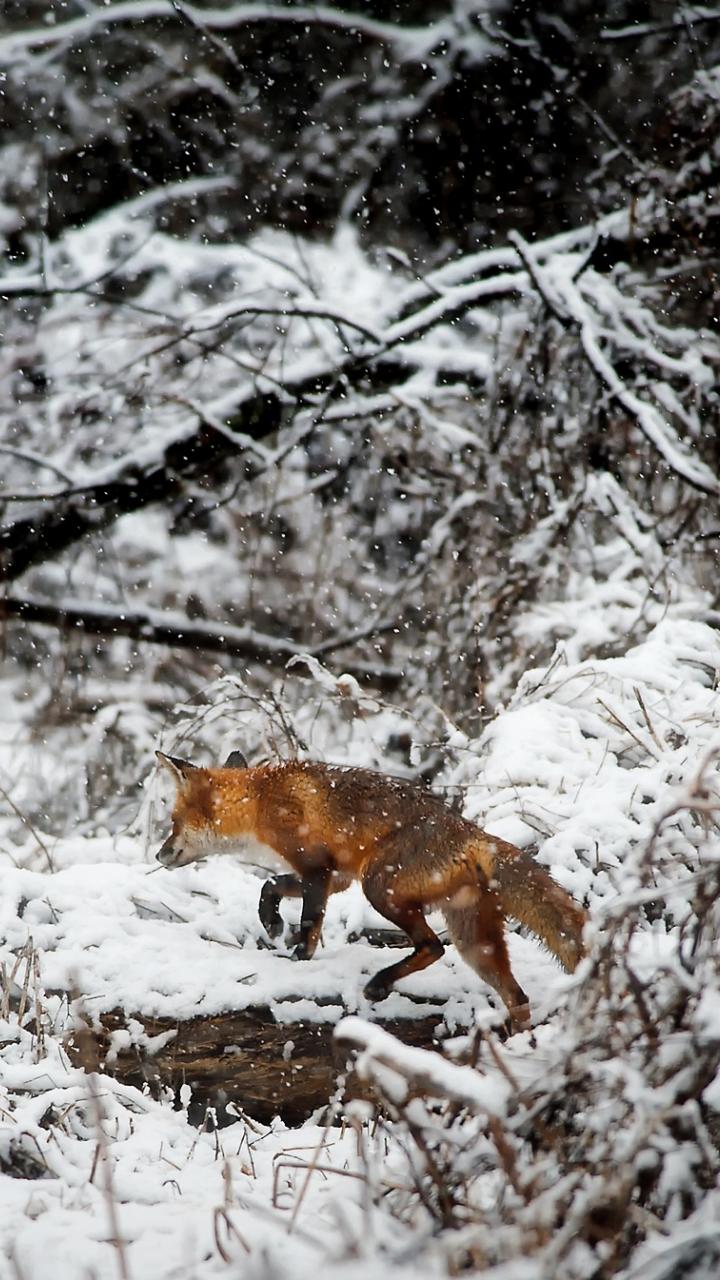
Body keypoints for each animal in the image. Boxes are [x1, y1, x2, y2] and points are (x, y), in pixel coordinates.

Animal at [155, 752, 587, 1027]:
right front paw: (272, 922)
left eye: (173, 821)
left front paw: (298, 957)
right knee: (517, 998)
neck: (260, 800)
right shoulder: (336, 876)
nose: (159, 854)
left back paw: (380, 984)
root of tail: (473, 833)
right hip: (473, 942)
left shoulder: (317, 868)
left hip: (380, 888)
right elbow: (270, 885)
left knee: (433, 946)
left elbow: (309, 921)